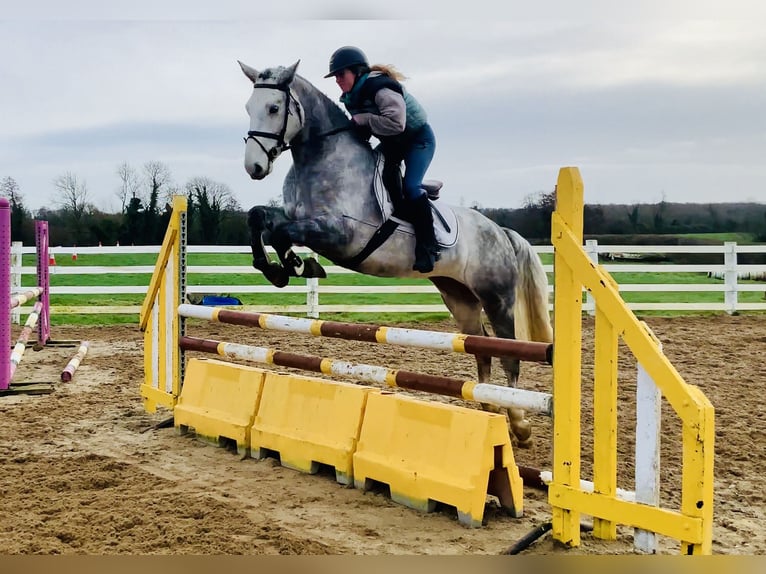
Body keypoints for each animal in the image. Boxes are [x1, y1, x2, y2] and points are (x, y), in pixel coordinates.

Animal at [238, 60, 553, 447]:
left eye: (273, 108)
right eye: (249, 108)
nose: (254, 168)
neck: (321, 157)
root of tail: (501, 232)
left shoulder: (341, 233)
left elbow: (282, 231)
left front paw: (297, 264)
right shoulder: (297, 218)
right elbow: (261, 218)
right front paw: (281, 267)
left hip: (497, 297)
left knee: (510, 355)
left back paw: (519, 424)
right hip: (460, 297)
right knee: (481, 346)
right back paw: (490, 409)